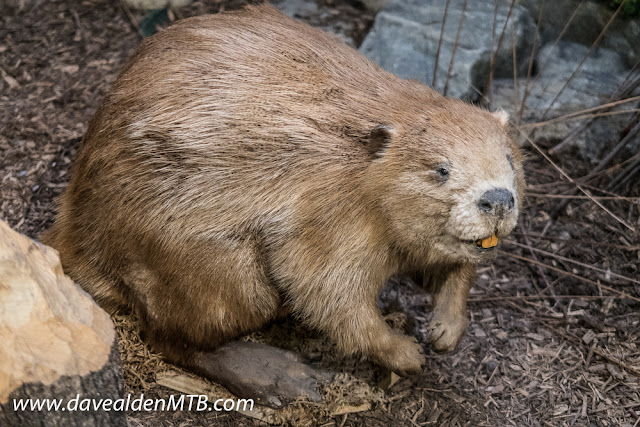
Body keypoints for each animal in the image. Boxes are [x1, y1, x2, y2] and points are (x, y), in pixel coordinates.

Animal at [45, 3, 524, 400]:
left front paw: (444, 331)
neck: (358, 161)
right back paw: (289, 377)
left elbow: (450, 265)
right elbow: (327, 294)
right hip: (207, 265)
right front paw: (408, 354)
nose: (498, 199)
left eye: (509, 157)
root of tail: (69, 238)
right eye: (441, 169)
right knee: (174, 337)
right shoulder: (327, 212)